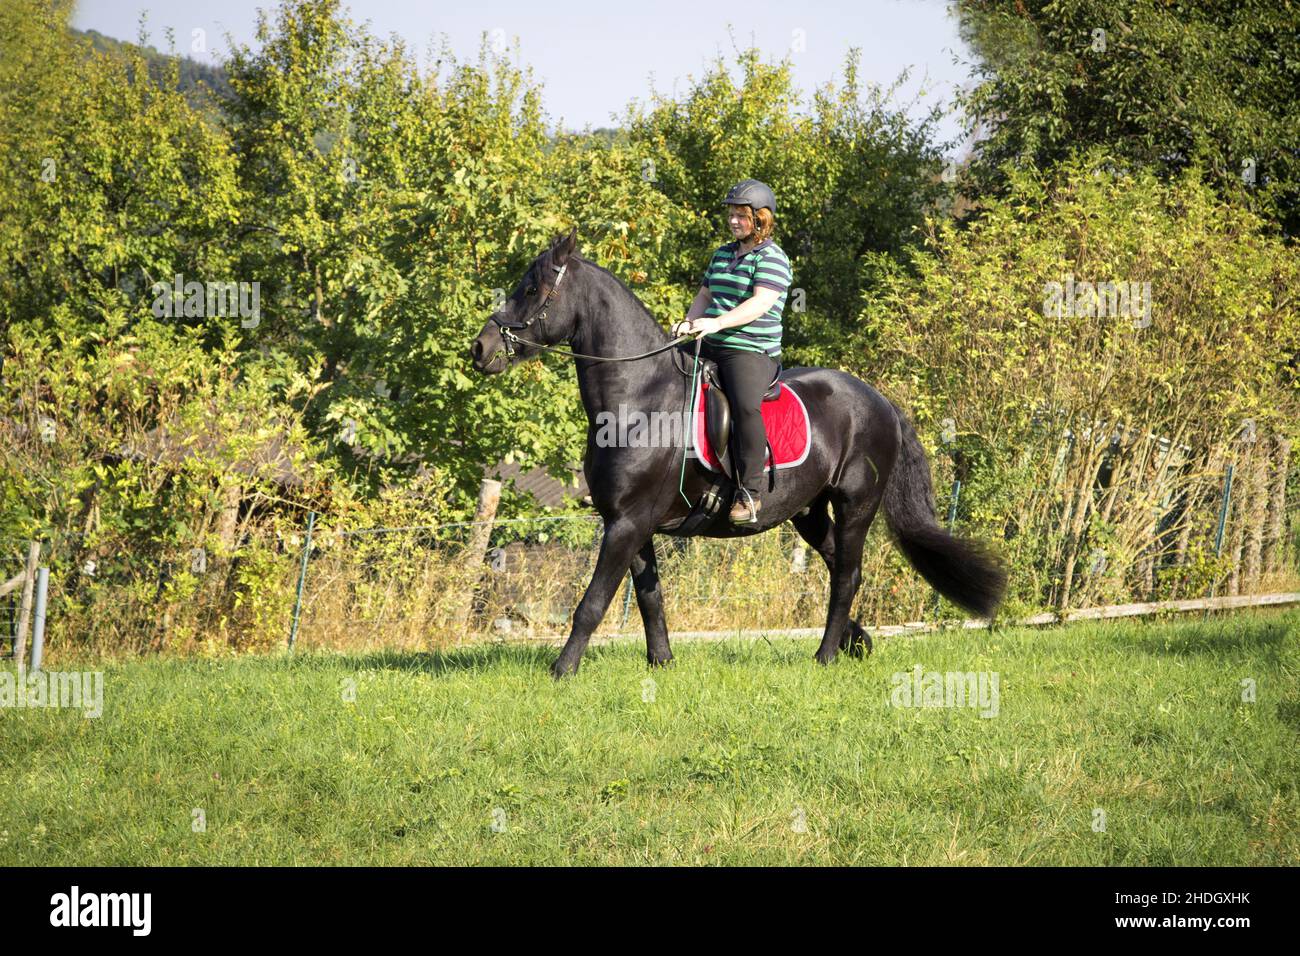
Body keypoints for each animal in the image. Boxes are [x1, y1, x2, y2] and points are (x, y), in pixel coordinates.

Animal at [467, 227, 1003, 676]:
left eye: (532, 289)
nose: (481, 349)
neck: (639, 398)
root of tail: (879, 400)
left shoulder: (627, 523)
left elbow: (593, 603)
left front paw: (562, 671)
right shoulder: (630, 523)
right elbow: (650, 597)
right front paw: (662, 663)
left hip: (856, 505)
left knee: (846, 576)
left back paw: (826, 656)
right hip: (808, 511)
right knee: (838, 567)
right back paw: (856, 641)